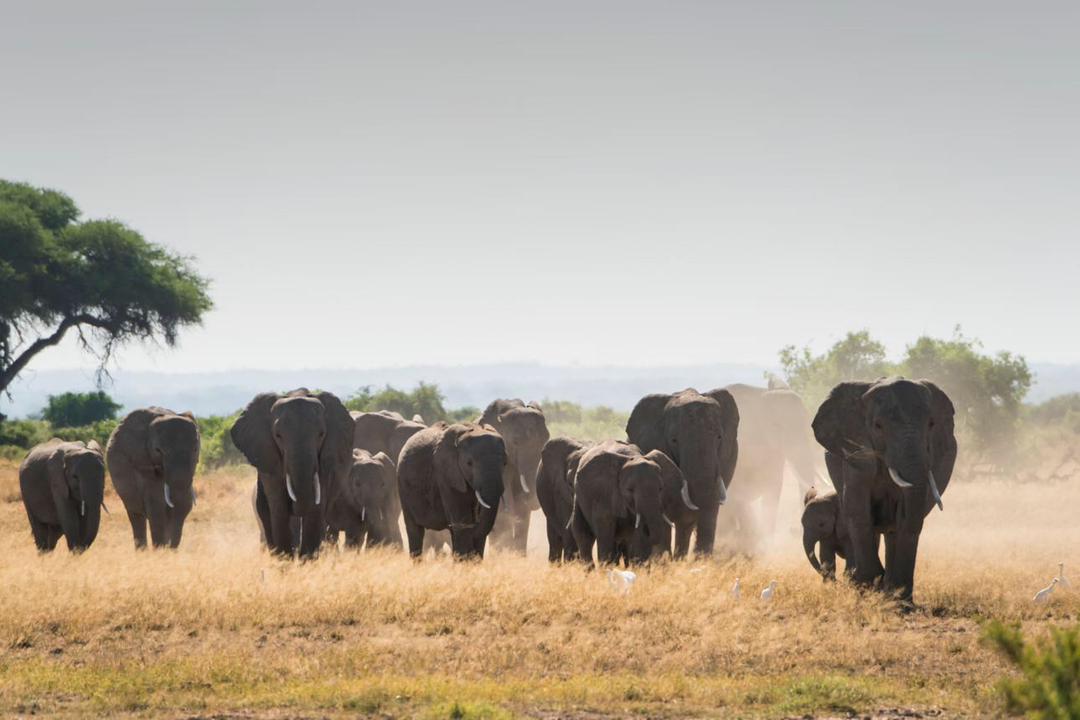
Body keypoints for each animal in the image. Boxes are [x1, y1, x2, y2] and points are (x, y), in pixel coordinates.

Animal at [107, 407, 200, 549]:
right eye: (158, 450)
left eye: (195, 449)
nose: (171, 549)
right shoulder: (142, 461)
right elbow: (157, 506)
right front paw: (160, 550)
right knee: (136, 515)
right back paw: (142, 551)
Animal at [231, 389, 355, 559]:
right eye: (278, 435)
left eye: (321, 434)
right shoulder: (270, 461)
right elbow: (279, 509)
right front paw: (285, 561)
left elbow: (315, 509)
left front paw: (306, 561)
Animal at [397, 422, 507, 560]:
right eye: (469, 463)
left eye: (505, 463)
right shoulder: (446, 475)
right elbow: (461, 522)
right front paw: (465, 562)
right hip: (403, 487)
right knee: (414, 529)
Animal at [812, 377, 957, 602]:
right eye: (878, 426)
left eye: (931, 424)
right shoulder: (856, 453)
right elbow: (858, 510)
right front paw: (869, 587)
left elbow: (907, 517)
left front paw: (899, 600)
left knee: (893, 530)